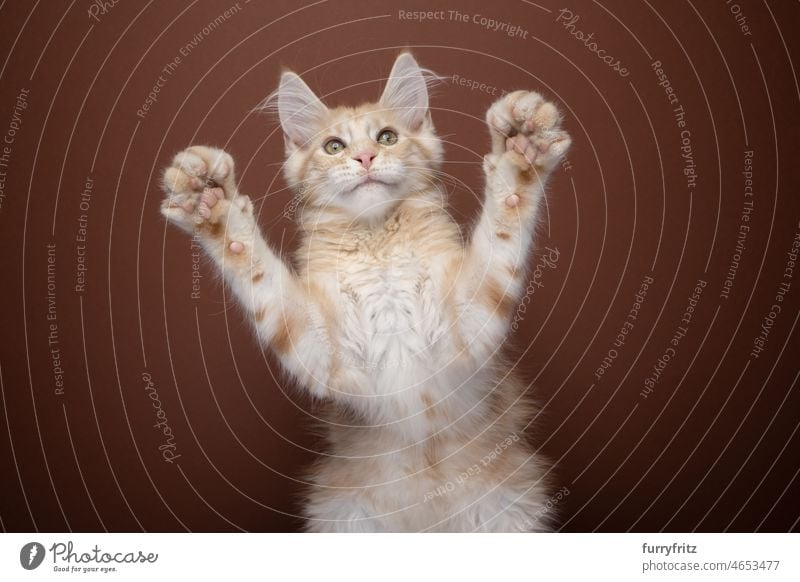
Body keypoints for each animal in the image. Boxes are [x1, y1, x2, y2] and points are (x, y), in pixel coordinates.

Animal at [159, 54, 568, 532]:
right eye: (334, 146)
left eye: (387, 137)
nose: (365, 156)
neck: (378, 247)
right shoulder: (320, 350)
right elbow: (260, 273)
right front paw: (211, 205)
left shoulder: (468, 329)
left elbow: (504, 222)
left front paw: (521, 148)